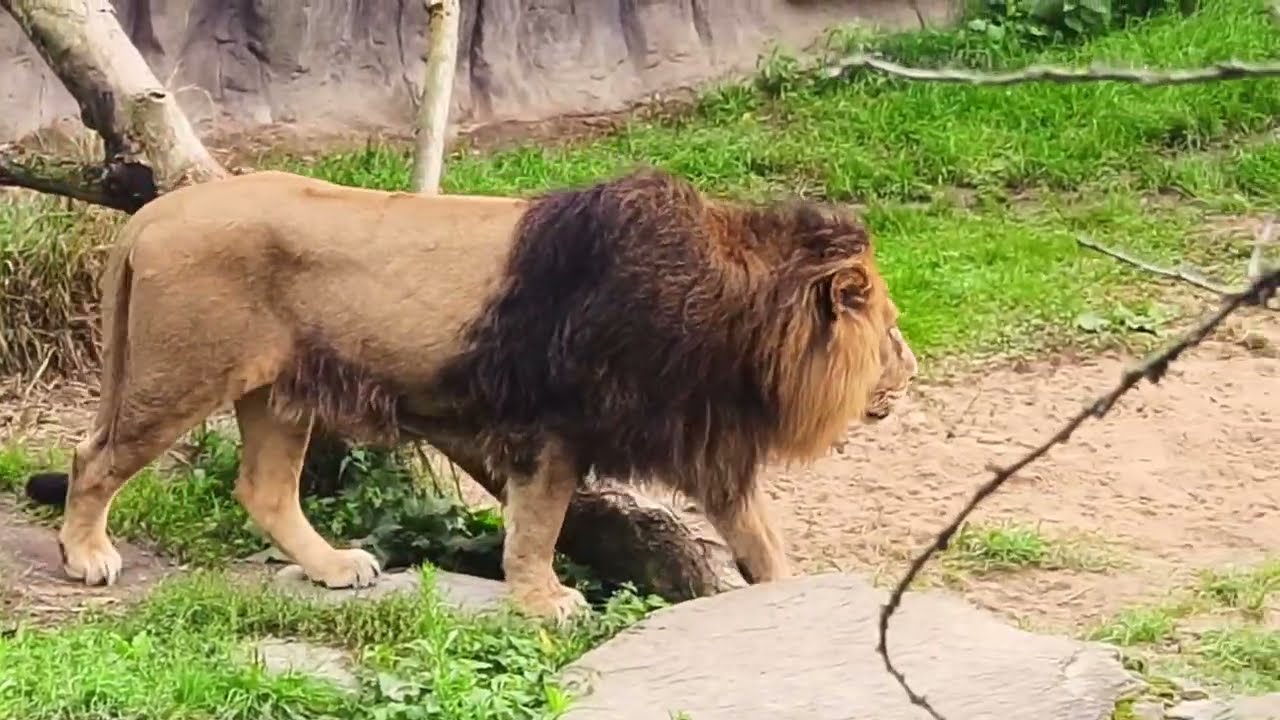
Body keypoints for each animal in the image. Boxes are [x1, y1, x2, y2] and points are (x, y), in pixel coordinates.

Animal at [25, 167, 917, 620]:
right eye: (892, 328)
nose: (910, 372)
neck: (732, 313)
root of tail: (153, 212)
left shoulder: (703, 438)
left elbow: (761, 539)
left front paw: (795, 597)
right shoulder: (557, 426)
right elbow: (538, 525)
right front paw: (546, 600)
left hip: (278, 392)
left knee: (264, 489)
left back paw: (335, 566)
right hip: (179, 374)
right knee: (94, 456)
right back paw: (87, 555)